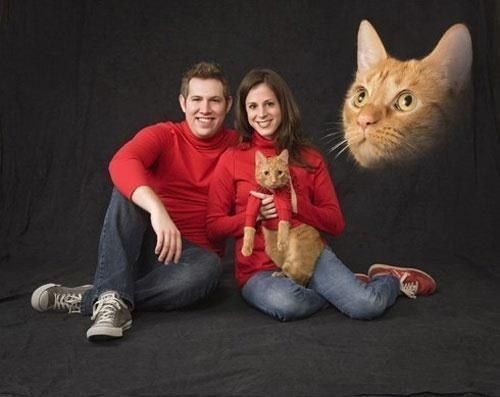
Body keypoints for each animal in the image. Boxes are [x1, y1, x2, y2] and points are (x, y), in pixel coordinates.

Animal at [242, 149, 324, 284]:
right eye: (266, 173)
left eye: (279, 172)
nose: (274, 181)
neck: (271, 192)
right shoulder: (253, 202)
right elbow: (249, 227)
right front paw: (246, 248)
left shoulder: (285, 202)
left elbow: (283, 223)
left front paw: (282, 240)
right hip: (272, 251)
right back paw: (280, 273)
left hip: (297, 259)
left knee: (301, 277)